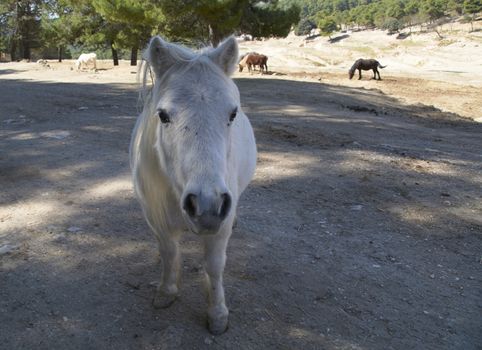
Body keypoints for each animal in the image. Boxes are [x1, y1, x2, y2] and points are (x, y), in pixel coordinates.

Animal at [128, 35, 256, 334]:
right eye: (163, 115)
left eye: (232, 114)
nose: (207, 206)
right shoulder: (158, 222)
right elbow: (169, 253)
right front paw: (166, 292)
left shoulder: (219, 229)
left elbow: (214, 266)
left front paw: (217, 313)